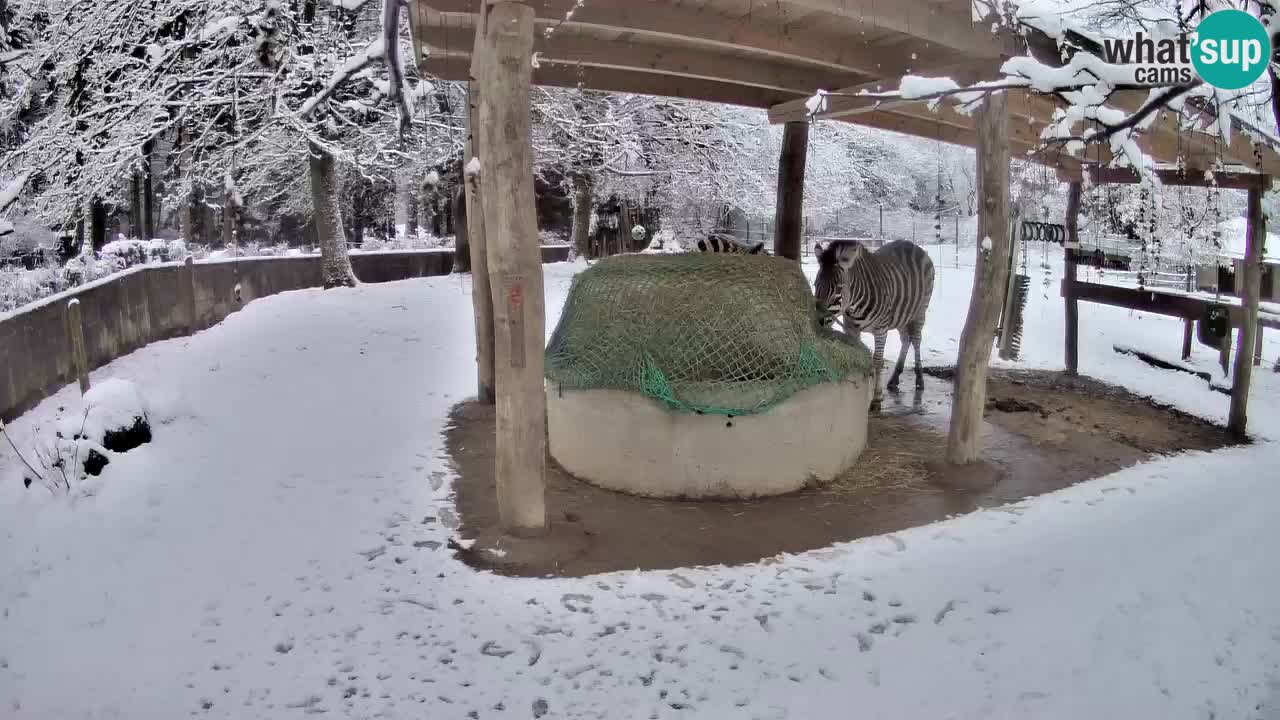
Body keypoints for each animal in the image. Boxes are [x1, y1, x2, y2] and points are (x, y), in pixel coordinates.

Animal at [814, 238, 936, 409]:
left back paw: (919, 379)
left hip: (919, 311)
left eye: (838, 289)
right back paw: (894, 378)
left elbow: (878, 361)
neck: (854, 304)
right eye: (815, 285)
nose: (818, 321)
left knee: (917, 340)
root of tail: (913, 245)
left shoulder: (881, 329)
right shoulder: (851, 328)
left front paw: (876, 398)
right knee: (906, 339)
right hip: (901, 315)